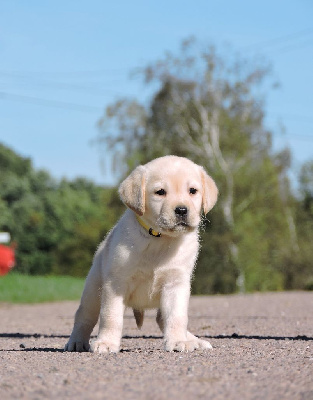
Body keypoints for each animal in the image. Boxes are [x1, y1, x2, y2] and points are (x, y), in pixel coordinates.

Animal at [64, 156, 217, 354]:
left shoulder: (175, 283)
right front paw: (106, 342)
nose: (182, 210)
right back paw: (76, 342)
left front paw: (178, 341)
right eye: (160, 192)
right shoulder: (116, 283)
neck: (160, 239)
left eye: (193, 191)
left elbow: (177, 317)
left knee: (162, 319)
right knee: (84, 316)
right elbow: (111, 316)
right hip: (93, 290)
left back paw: (193, 340)